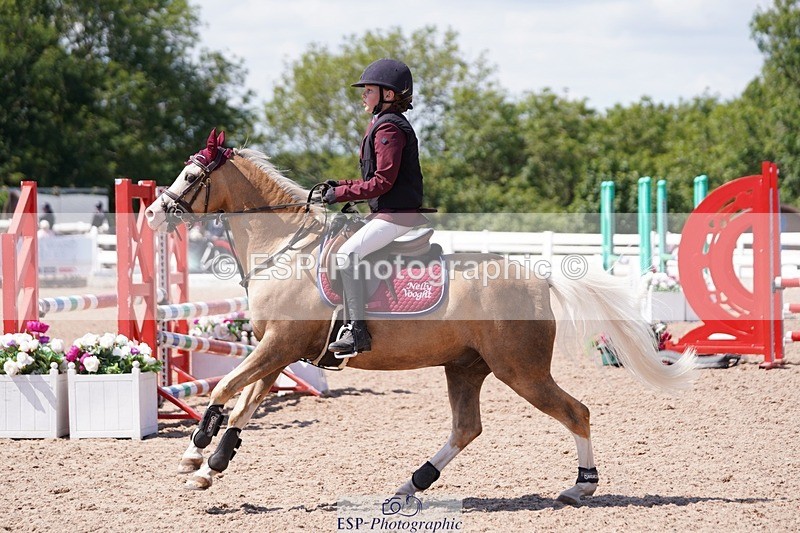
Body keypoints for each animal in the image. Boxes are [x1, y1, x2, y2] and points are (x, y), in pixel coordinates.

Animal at [145, 129, 696, 503]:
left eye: (192, 176)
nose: (152, 214)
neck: (284, 248)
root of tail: (539, 277)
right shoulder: (277, 351)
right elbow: (243, 405)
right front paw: (209, 464)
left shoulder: (278, 345)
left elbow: (222, 389)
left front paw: (197, 448)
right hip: (466, 367)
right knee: (467, 428)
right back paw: (409, 485)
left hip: (521, 370)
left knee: (575, 412)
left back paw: (580, 487)